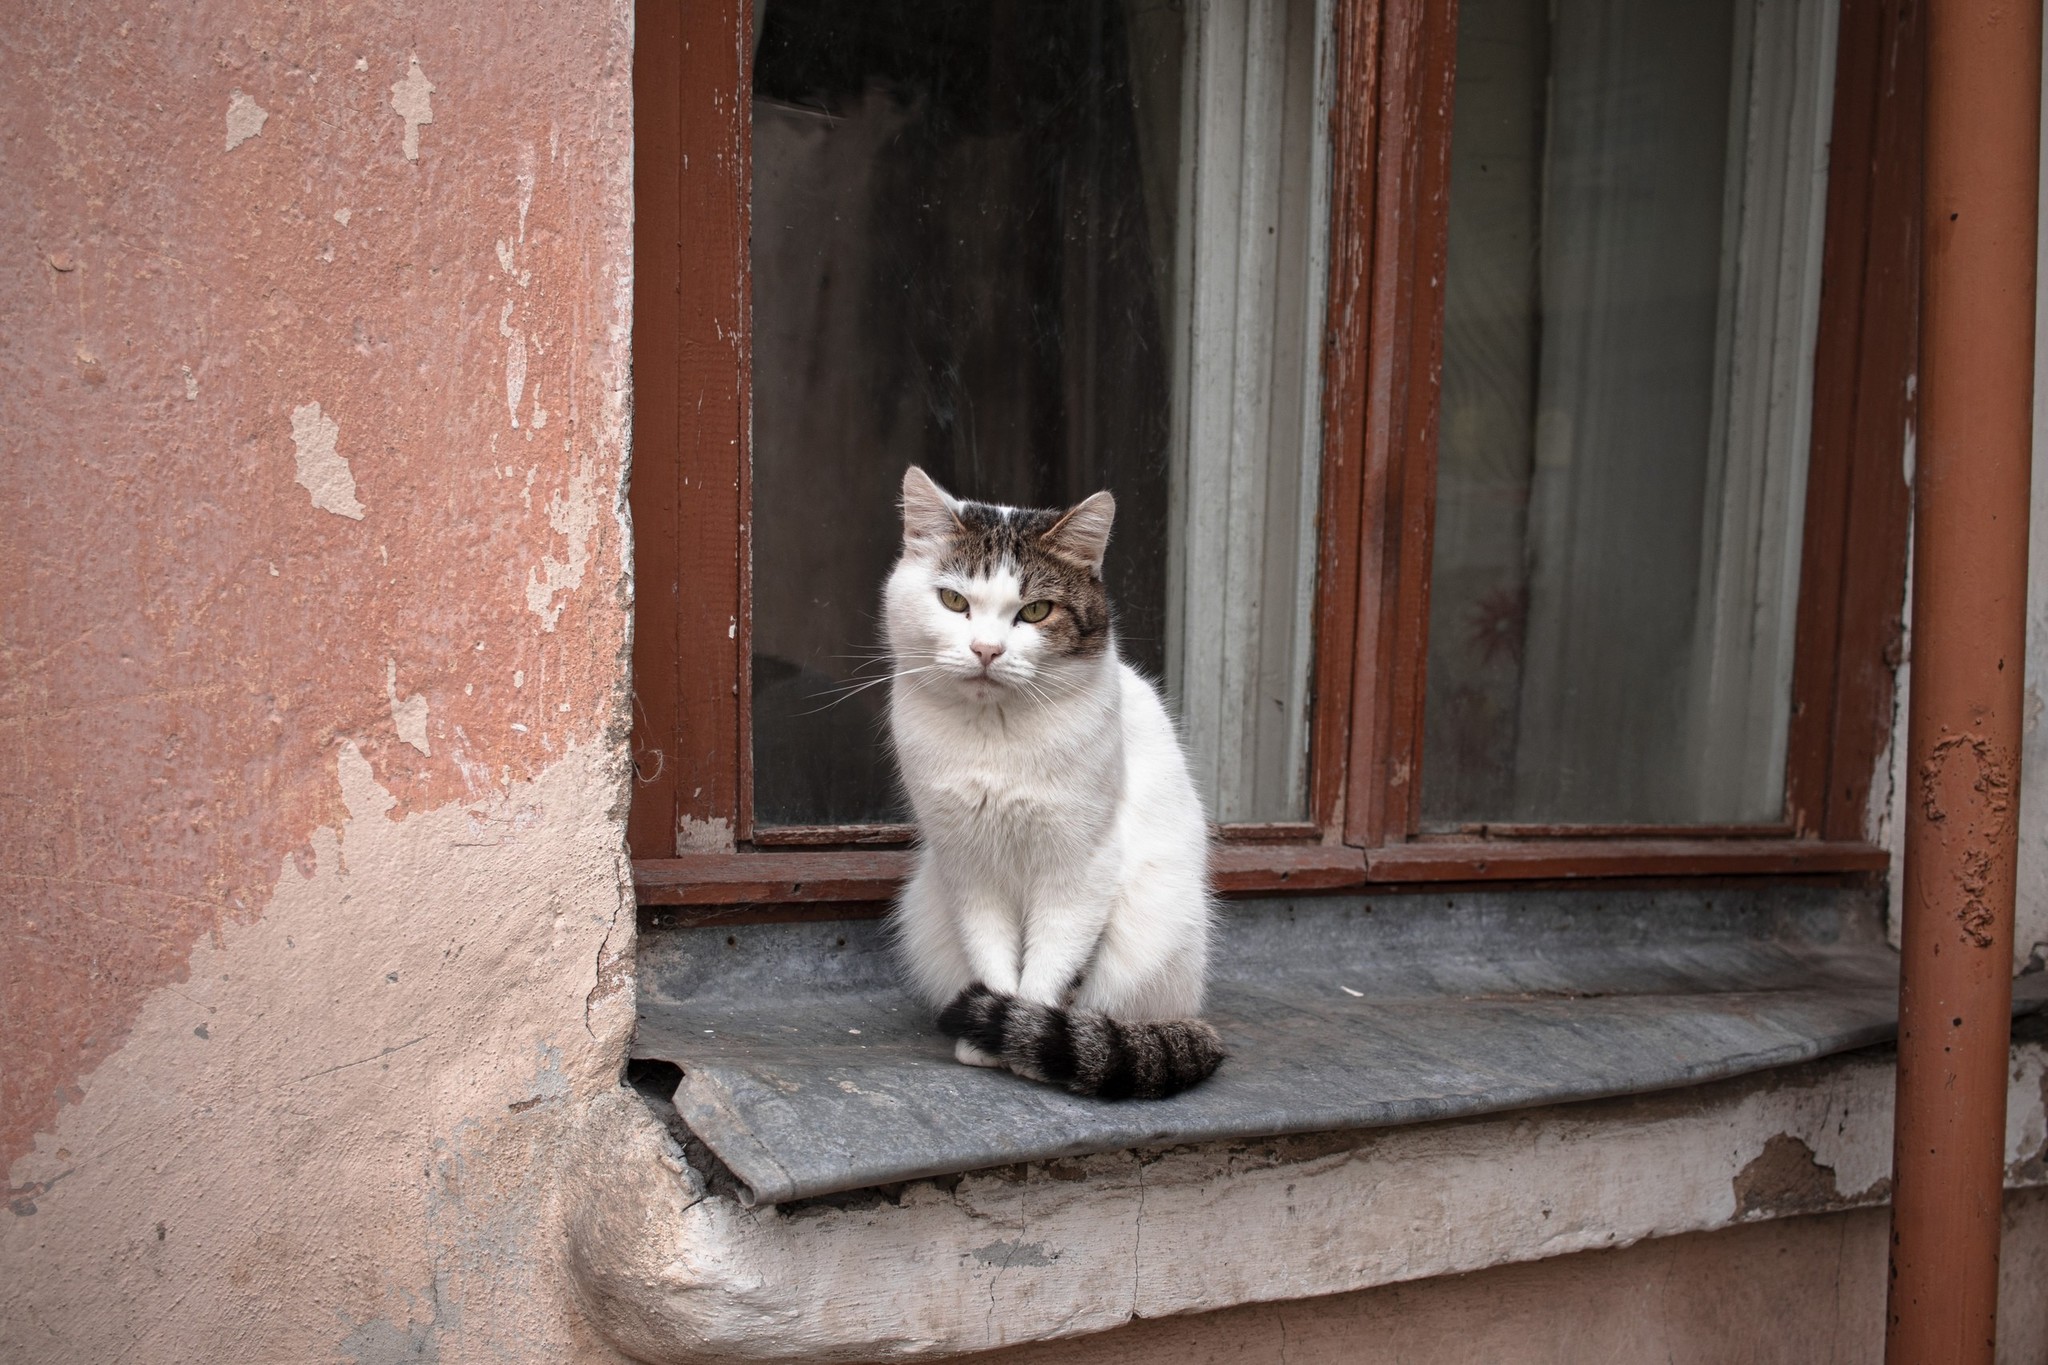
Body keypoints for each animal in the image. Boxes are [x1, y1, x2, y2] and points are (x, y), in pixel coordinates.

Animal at [884, 466, 1228, 1096]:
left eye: (1037, 611)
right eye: (953, 601)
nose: (986, 649)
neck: (995, 737)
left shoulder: (1083, 867)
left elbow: (1052, 962)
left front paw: (1026, 1040)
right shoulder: (968, 867)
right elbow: (991, 953)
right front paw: (988, 1038)